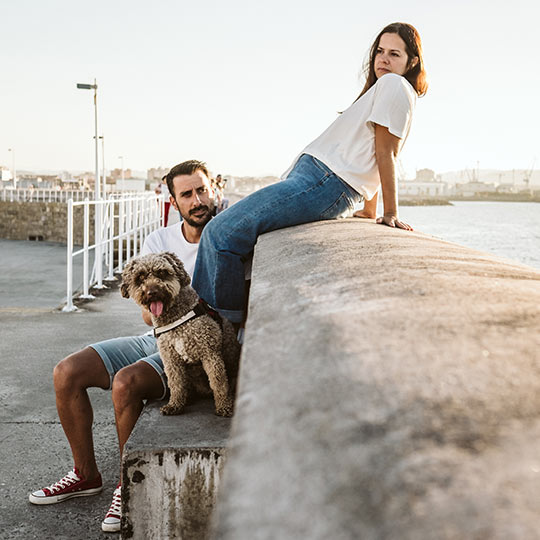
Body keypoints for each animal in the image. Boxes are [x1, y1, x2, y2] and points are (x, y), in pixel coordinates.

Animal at [123, 251, 242, 416]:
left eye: (162, 272)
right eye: (140, 277)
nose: (152, 292)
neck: (177, 318)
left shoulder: (210, 353)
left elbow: (219, 382)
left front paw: (224, 406)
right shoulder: (170, 359)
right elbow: (176, 383)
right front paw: (174, 405)